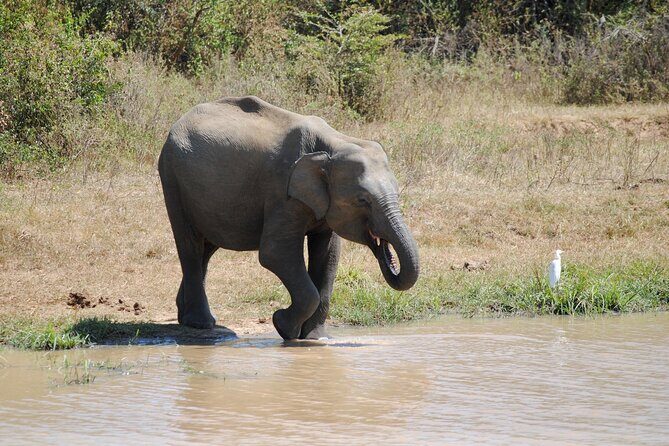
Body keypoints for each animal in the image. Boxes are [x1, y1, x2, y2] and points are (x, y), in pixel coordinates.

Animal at [158, 96, 419, 340]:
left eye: (397, 194)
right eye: (363, 200)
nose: (384, 247)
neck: (334, 145)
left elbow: (328, 257)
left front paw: (315, 338)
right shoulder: (282, 191)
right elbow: (275, 253)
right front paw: (283, 325)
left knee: (207, 247)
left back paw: (187, 316)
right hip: (172, 178)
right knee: (190, 245)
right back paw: (200, 323)